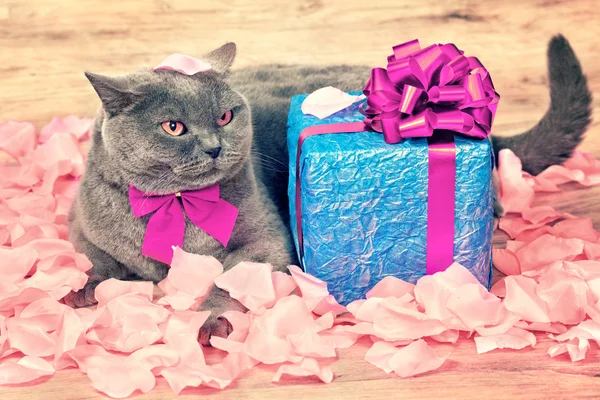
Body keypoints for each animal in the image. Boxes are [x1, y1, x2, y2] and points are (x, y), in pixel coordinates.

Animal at [69, 34, 592, 344]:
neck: (178, 207)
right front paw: (77, 293)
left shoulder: (266, 240)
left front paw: (211, 320)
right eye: (173, 127)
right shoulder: (81, 226)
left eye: (225, 116)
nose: (216, 147)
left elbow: (227, 279)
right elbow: (93, 262)